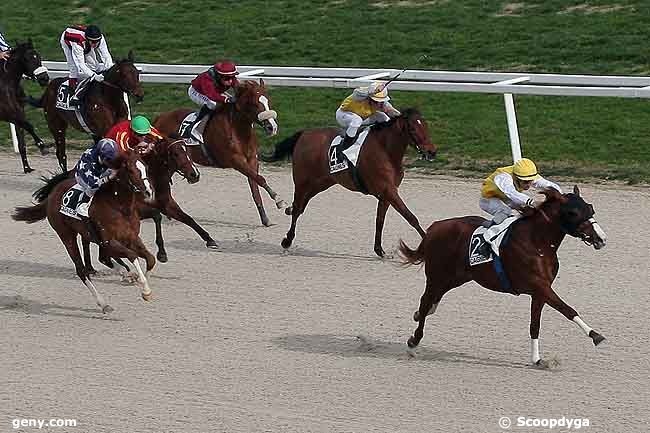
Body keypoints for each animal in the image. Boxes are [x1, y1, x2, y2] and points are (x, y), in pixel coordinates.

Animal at [0, 39, 49, 172]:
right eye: (26, 59)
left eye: (38, 56)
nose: (44, 78)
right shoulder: (9, 114)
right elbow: (29, 126)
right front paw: (42, 146)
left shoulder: (18, 113)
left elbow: (22, 142)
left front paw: (27, 168)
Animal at [13, 150, 156, 312]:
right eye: (131, 170)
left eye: (146, 167)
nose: (148, 191)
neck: (118, 206)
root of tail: (51, 195)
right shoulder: (109, 241)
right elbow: (132, 256)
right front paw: (145, 290)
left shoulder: (131, 237)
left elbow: (151, 258)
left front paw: (143, 283)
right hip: (66, 235)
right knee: (82, 270)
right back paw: (103, 303)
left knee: (103, 258)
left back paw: (126, 274)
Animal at [154, 79, 284, 226]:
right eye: (254, 104)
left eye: (268, 100)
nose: (272, 127)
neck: (237, 130)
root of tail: (160, 117)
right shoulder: (235, 161)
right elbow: (260, 179)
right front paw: (278, 199)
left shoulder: (252, 160)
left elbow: (255, 185)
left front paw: (265, 218)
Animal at [260, 108, 436, 256]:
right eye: (413, 129)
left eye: (426, 126)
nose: (432, 152)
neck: (386, 150)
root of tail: (304, 134)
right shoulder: (389, 190)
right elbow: (411, 217)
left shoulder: (386, 193)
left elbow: (380, 220)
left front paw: (379, 250)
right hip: (302, 181)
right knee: (298, 208)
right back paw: (287, 240)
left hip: (322, 182)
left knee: (300, 206)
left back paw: (288, 211)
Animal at [400, 186, 608, 364]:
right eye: (573, 213)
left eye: (590, 208)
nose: (601, 238)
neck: (538, 243)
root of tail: (434, 228)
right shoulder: (538, 284)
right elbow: (567, 309)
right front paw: (595, 335)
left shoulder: (540, 290)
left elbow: (535, 324)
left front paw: (537, 360)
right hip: (436, 275)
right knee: (426, 301)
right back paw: (413, 343)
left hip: (456, 277)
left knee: (431, 302)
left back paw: (419, 316)